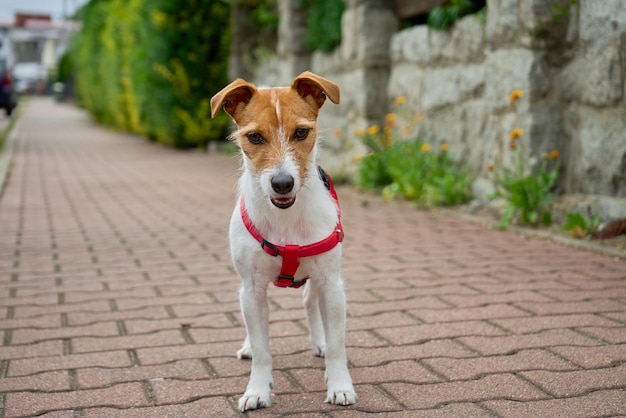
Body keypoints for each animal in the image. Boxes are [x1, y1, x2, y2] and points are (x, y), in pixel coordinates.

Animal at [211, 72, 356, 412]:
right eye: (254, 137)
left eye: (301, 132)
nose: (282, 183)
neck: (286, 219)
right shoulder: (252, 288)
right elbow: (263, 350)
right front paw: (257, 390)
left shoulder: (332, 284)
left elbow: (337, 346)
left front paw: (340, 384)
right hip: (248, 292)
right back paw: (248, 346)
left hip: (317, 281)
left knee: (310, 304)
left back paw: (319, 342)